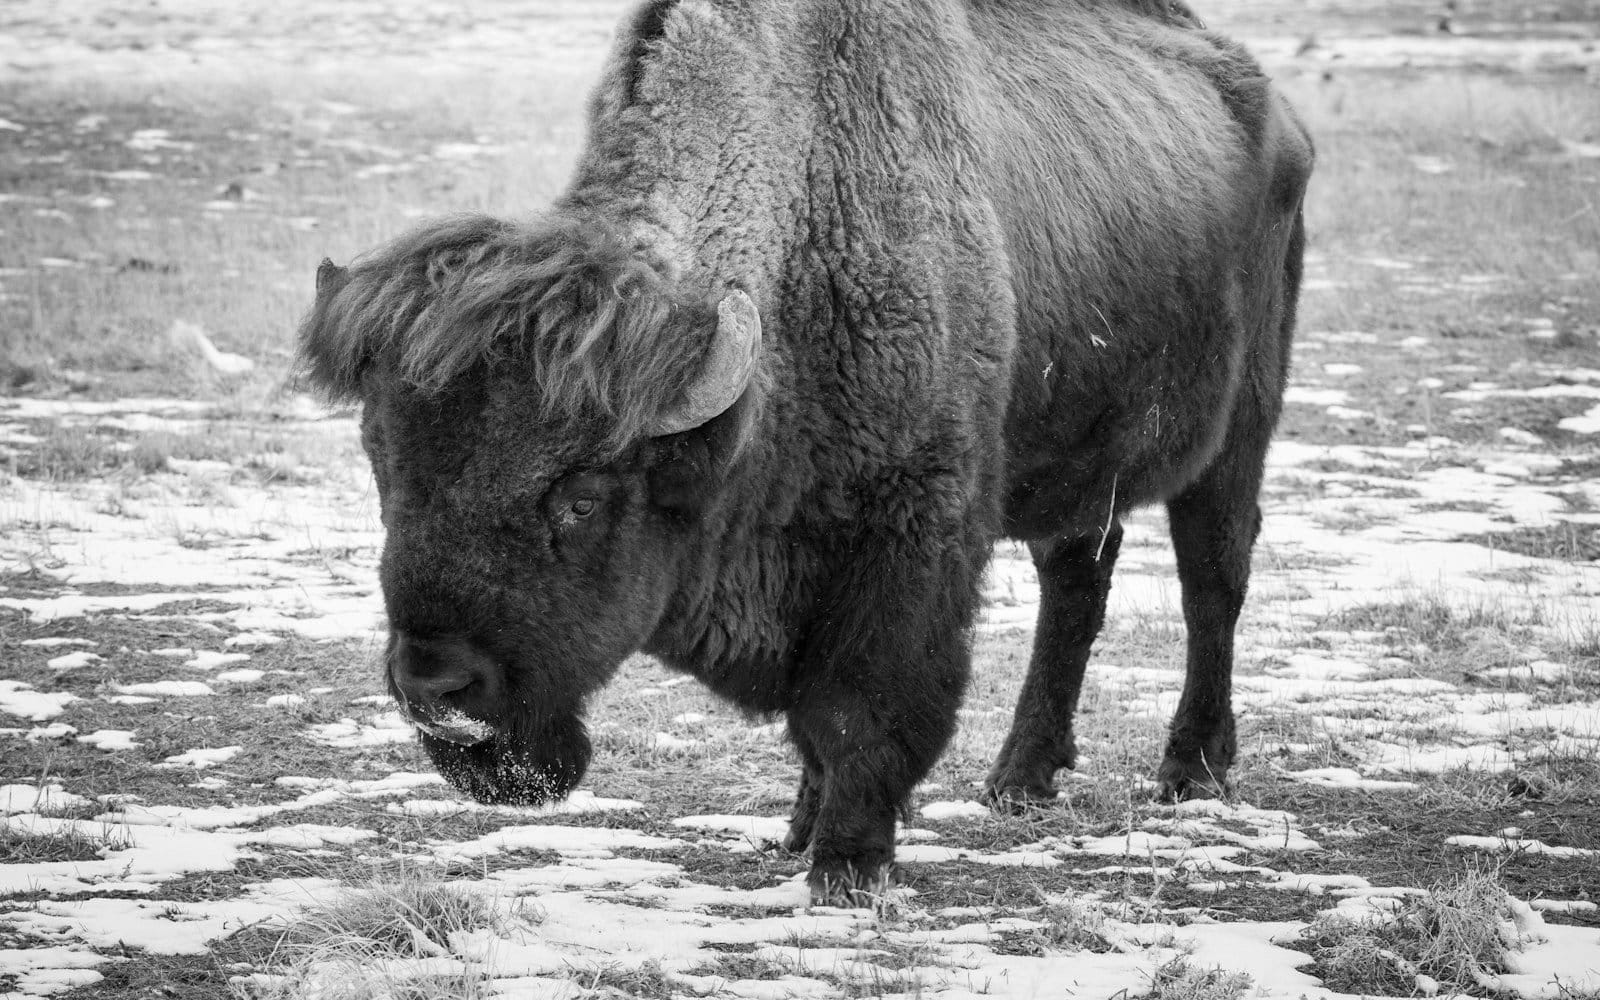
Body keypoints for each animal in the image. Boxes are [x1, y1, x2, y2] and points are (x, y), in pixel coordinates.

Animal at [298, 0, 1312, 903]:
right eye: (387, 475)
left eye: (581, 497)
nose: (436, 686)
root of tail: (1275, 107)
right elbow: (810, 725)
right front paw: (797, 828)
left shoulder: (907, 541)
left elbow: (858, 711)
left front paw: (846, 869)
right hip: (1079, 470)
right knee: (1077, 587)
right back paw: (1020, 780)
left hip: (1238, 433)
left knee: (1212, 582)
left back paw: (1191, 771)